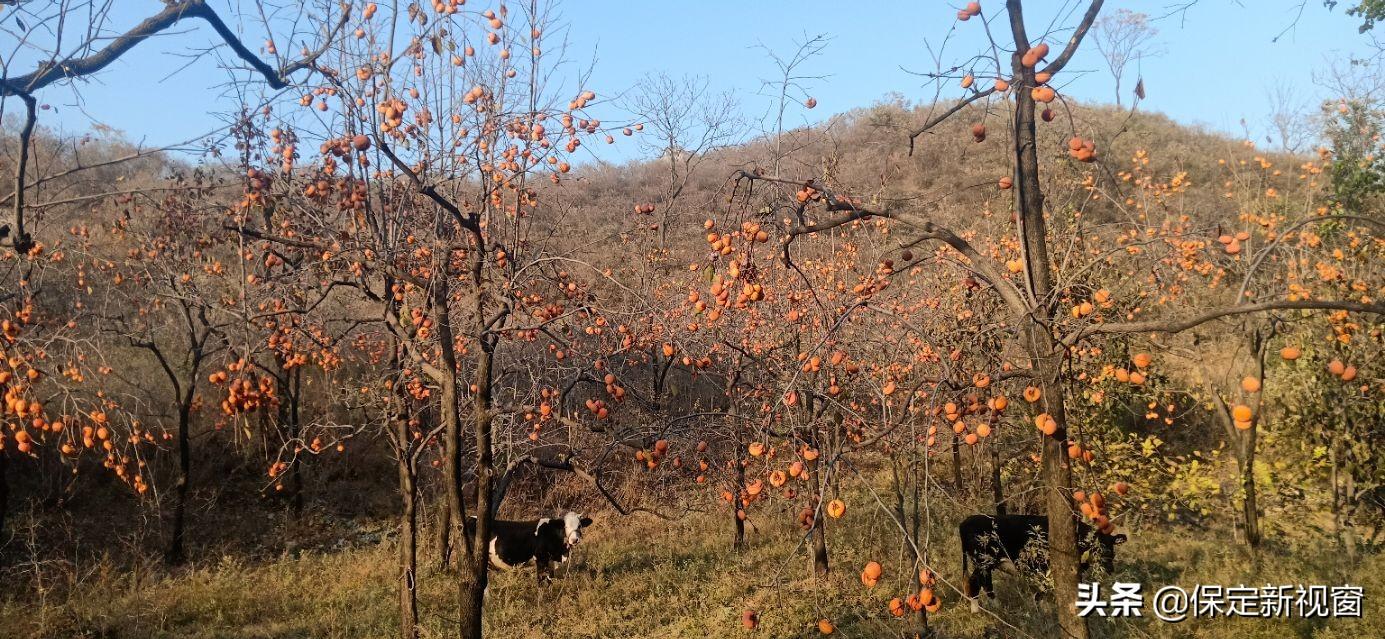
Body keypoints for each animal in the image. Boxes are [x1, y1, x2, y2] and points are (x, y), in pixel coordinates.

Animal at [963, 510, 1124, 609]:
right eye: (1100, 548)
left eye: (1112, 549)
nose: (1110, 569)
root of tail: (966, 521)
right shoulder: (1043, 567)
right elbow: (1043, 590)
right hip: (983, 562)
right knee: (980, 583)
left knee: (977, 583)